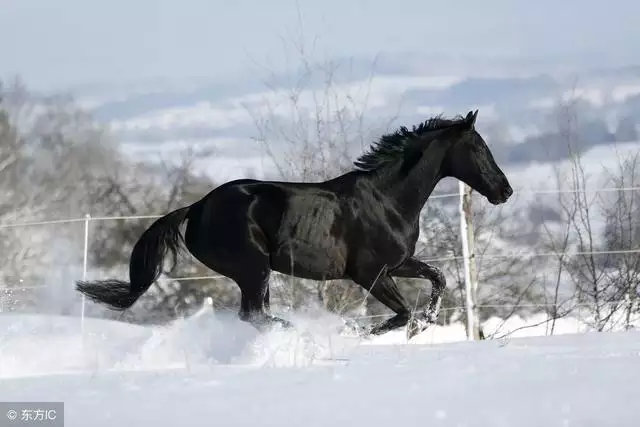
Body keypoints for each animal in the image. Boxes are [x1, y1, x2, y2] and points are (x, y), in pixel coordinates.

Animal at [77, 109, 512, 338]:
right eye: (478, 147)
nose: (505, 191)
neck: (386, 199)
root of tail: (198, 207)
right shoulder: (369, 272)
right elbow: (402, 312)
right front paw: (359, 333)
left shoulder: (397, 263)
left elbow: (438, 278)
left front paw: (427, 321)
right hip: (253, 268)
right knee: (255, 316)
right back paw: (294, 330)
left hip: (255, 273)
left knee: (254, 315)